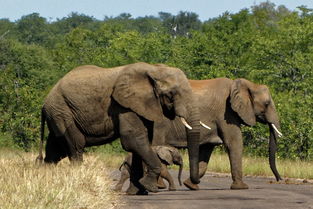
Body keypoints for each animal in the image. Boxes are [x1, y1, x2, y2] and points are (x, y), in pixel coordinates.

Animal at [34, 62, 200, 195]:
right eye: (171, 94)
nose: (192, 184)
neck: (154, 69)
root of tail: (44, 103)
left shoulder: (143, 105)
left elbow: (142, 141)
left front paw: (136, 192)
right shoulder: (123, 104)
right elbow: (133, 139)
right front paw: (149, 188)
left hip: (57, 114)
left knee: (55, 151)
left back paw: (46, 180)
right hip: (63, 112)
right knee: (75, 146)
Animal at [152, 77, 282, 190]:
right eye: (267, 103)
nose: (279, 179)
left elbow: (206, 150)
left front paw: (190, 185)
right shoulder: (226, 113)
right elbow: (234, 143)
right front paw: (242, 187)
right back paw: (159, 186)